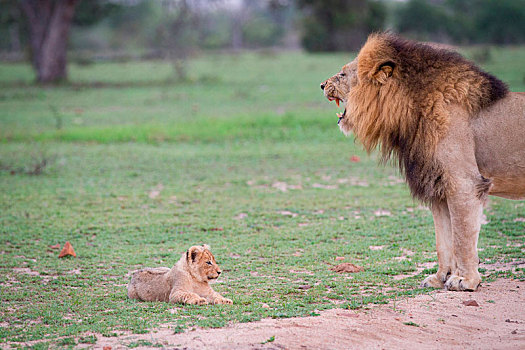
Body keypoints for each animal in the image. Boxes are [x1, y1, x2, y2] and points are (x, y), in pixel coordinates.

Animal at [320, 32, 524, 292]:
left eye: (343, 74)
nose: (322, 85)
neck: (410, 113)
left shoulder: (465, 183)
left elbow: (462, 237)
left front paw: (466, 281)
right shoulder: (438, 187)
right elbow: (443, 240)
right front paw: (440, 278)